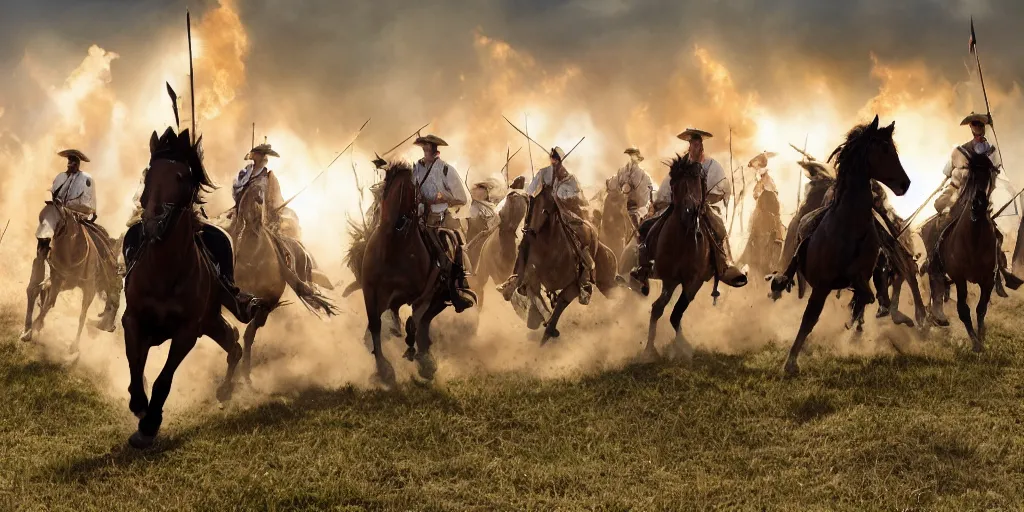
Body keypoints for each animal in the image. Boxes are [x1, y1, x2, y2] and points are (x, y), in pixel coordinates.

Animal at [21, 197, 118, 350]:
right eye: (41, 215)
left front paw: (74, 346)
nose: (43, 239)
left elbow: (81, 315)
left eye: (58, 220)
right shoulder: (60, 280)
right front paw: (30, 331)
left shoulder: (86, 288)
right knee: (38, 293)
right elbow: (49, 302)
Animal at [638, 154, 712, 360]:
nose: (689, 212)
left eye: (697, 181)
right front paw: (649, 350)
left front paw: (683, 347)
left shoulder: (693, 281)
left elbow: (676, 312)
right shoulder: (669, 279)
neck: (682, 241)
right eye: (675, 183)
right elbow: (658, 309)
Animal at [770, 117, 913, 378]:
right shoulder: (822, 285)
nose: (904, 184)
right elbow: (809, 318)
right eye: (884, 149)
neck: (848, 226)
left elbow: (866, 295)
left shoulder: (861, 276)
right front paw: (791, 361)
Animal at [925, 150, 995, 352]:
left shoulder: (988, 279)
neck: (974, 241)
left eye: (989, 175)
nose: (978, 204)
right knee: (936, 287)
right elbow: (963, 310)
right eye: (972, 175)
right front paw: (975, 343)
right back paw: (937, 317)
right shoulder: (959, 277)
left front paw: (981, 337)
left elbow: (981, 308)